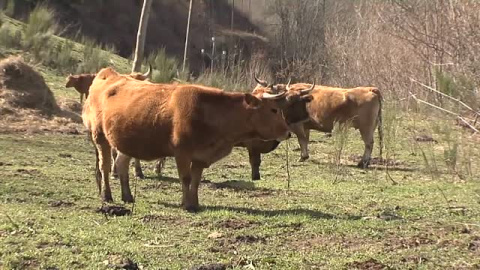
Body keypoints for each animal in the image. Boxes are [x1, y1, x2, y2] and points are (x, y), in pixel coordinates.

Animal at [81, 67, 316, 211]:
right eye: (274, 109)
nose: (287, 132)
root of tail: (108, 74)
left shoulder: (201, 156)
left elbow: (196, 180)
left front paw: (194, 203)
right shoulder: (182, 153)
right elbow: (186, 178)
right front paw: (186, 204)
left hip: (124, 144)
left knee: (121, 165)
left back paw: (128, 196)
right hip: (100, 138)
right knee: (104, 167)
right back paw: (107, 196)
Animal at [253, 77, 384, 168]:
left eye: (262, 95)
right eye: (254, 91)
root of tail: (371, 89)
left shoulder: (297, 125)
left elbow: (301, 139)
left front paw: (303, 157)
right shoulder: (305, 126)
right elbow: (305, 141)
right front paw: (305, 156)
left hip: (366, 128)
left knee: (369, 144)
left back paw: (363, 162)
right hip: (372, 127)